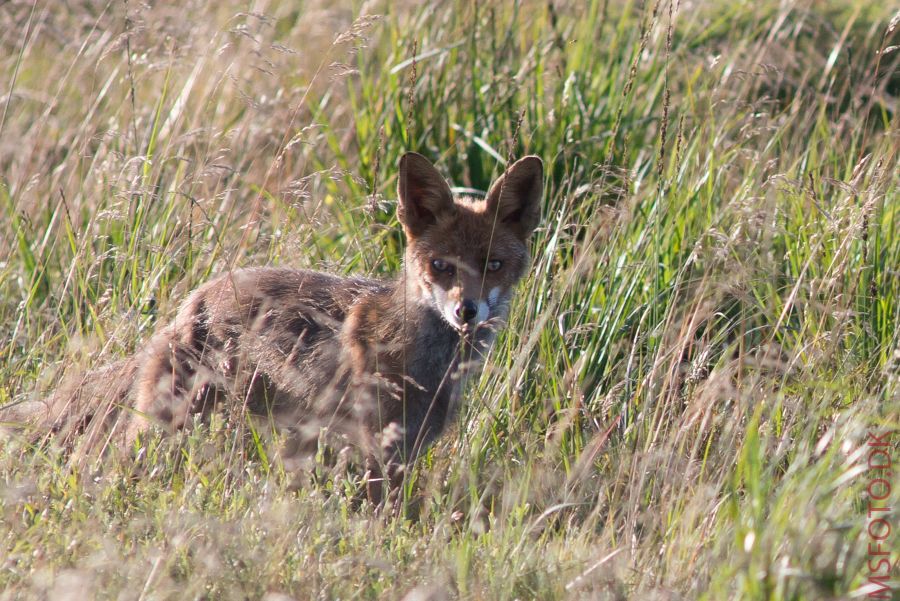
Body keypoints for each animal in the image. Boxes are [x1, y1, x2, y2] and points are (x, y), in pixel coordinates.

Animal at [8, 152, 540, 500]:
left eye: (493, 265)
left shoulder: (401, 452)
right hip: (169, 424)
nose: (466, 311)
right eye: (441, 266)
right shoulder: (375, 452)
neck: (428, 360)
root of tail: (192, 302)